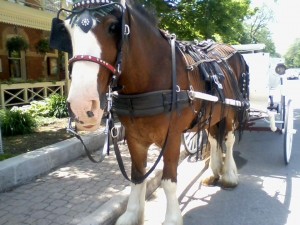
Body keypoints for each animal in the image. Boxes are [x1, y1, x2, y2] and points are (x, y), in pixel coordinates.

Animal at [51, 0, 248, 224]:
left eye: (113, 27)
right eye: (67, 31)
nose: (82, 106)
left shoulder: (172, 138)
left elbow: (168, 181)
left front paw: (172, 218)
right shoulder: (135, 138)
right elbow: (137, 177)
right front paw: (132, 214)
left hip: (230, 112)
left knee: (229, 141)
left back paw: (229, 176)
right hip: (213, 114)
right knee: (215, 138)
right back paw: (213, 173)